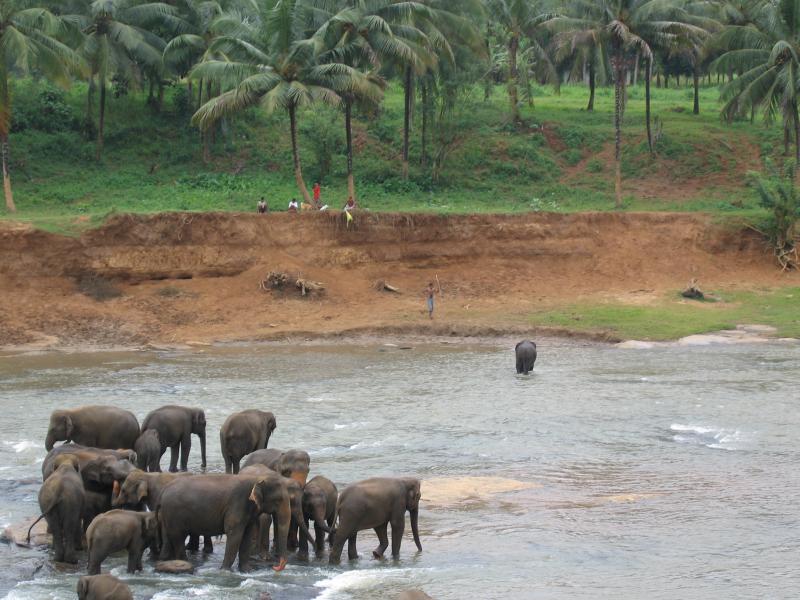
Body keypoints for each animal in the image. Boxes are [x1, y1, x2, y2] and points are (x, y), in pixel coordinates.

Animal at [158, 472, 292, 568]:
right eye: (278, 500)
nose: (276, 567)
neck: (257, 478)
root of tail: (164, 489)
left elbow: (247, 536)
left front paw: (246, 571)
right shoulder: (237, 504)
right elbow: (234, 535)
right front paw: (224, 570)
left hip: (168, 516)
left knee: (169, 538)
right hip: (174, 515)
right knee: (178, 538)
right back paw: (185, 563)